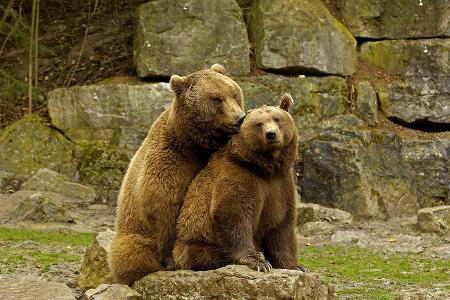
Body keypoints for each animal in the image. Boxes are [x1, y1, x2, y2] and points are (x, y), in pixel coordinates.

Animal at [110, 64, 248, 284]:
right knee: (131, 252)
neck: (195, 144)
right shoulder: (170, 162)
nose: (239, 118)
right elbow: (165, 209)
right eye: (216, 98)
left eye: (234, 93)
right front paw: (173, 260)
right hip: (130, 233)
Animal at [173, 93, 306, 272]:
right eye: (259, 124)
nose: (271, 134)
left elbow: (282, 223)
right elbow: (233, 212)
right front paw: (257, 261)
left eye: (277, 118)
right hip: (194, 242)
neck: (265, 167)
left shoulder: (281, 184)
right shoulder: (239, 172)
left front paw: (295, 265)